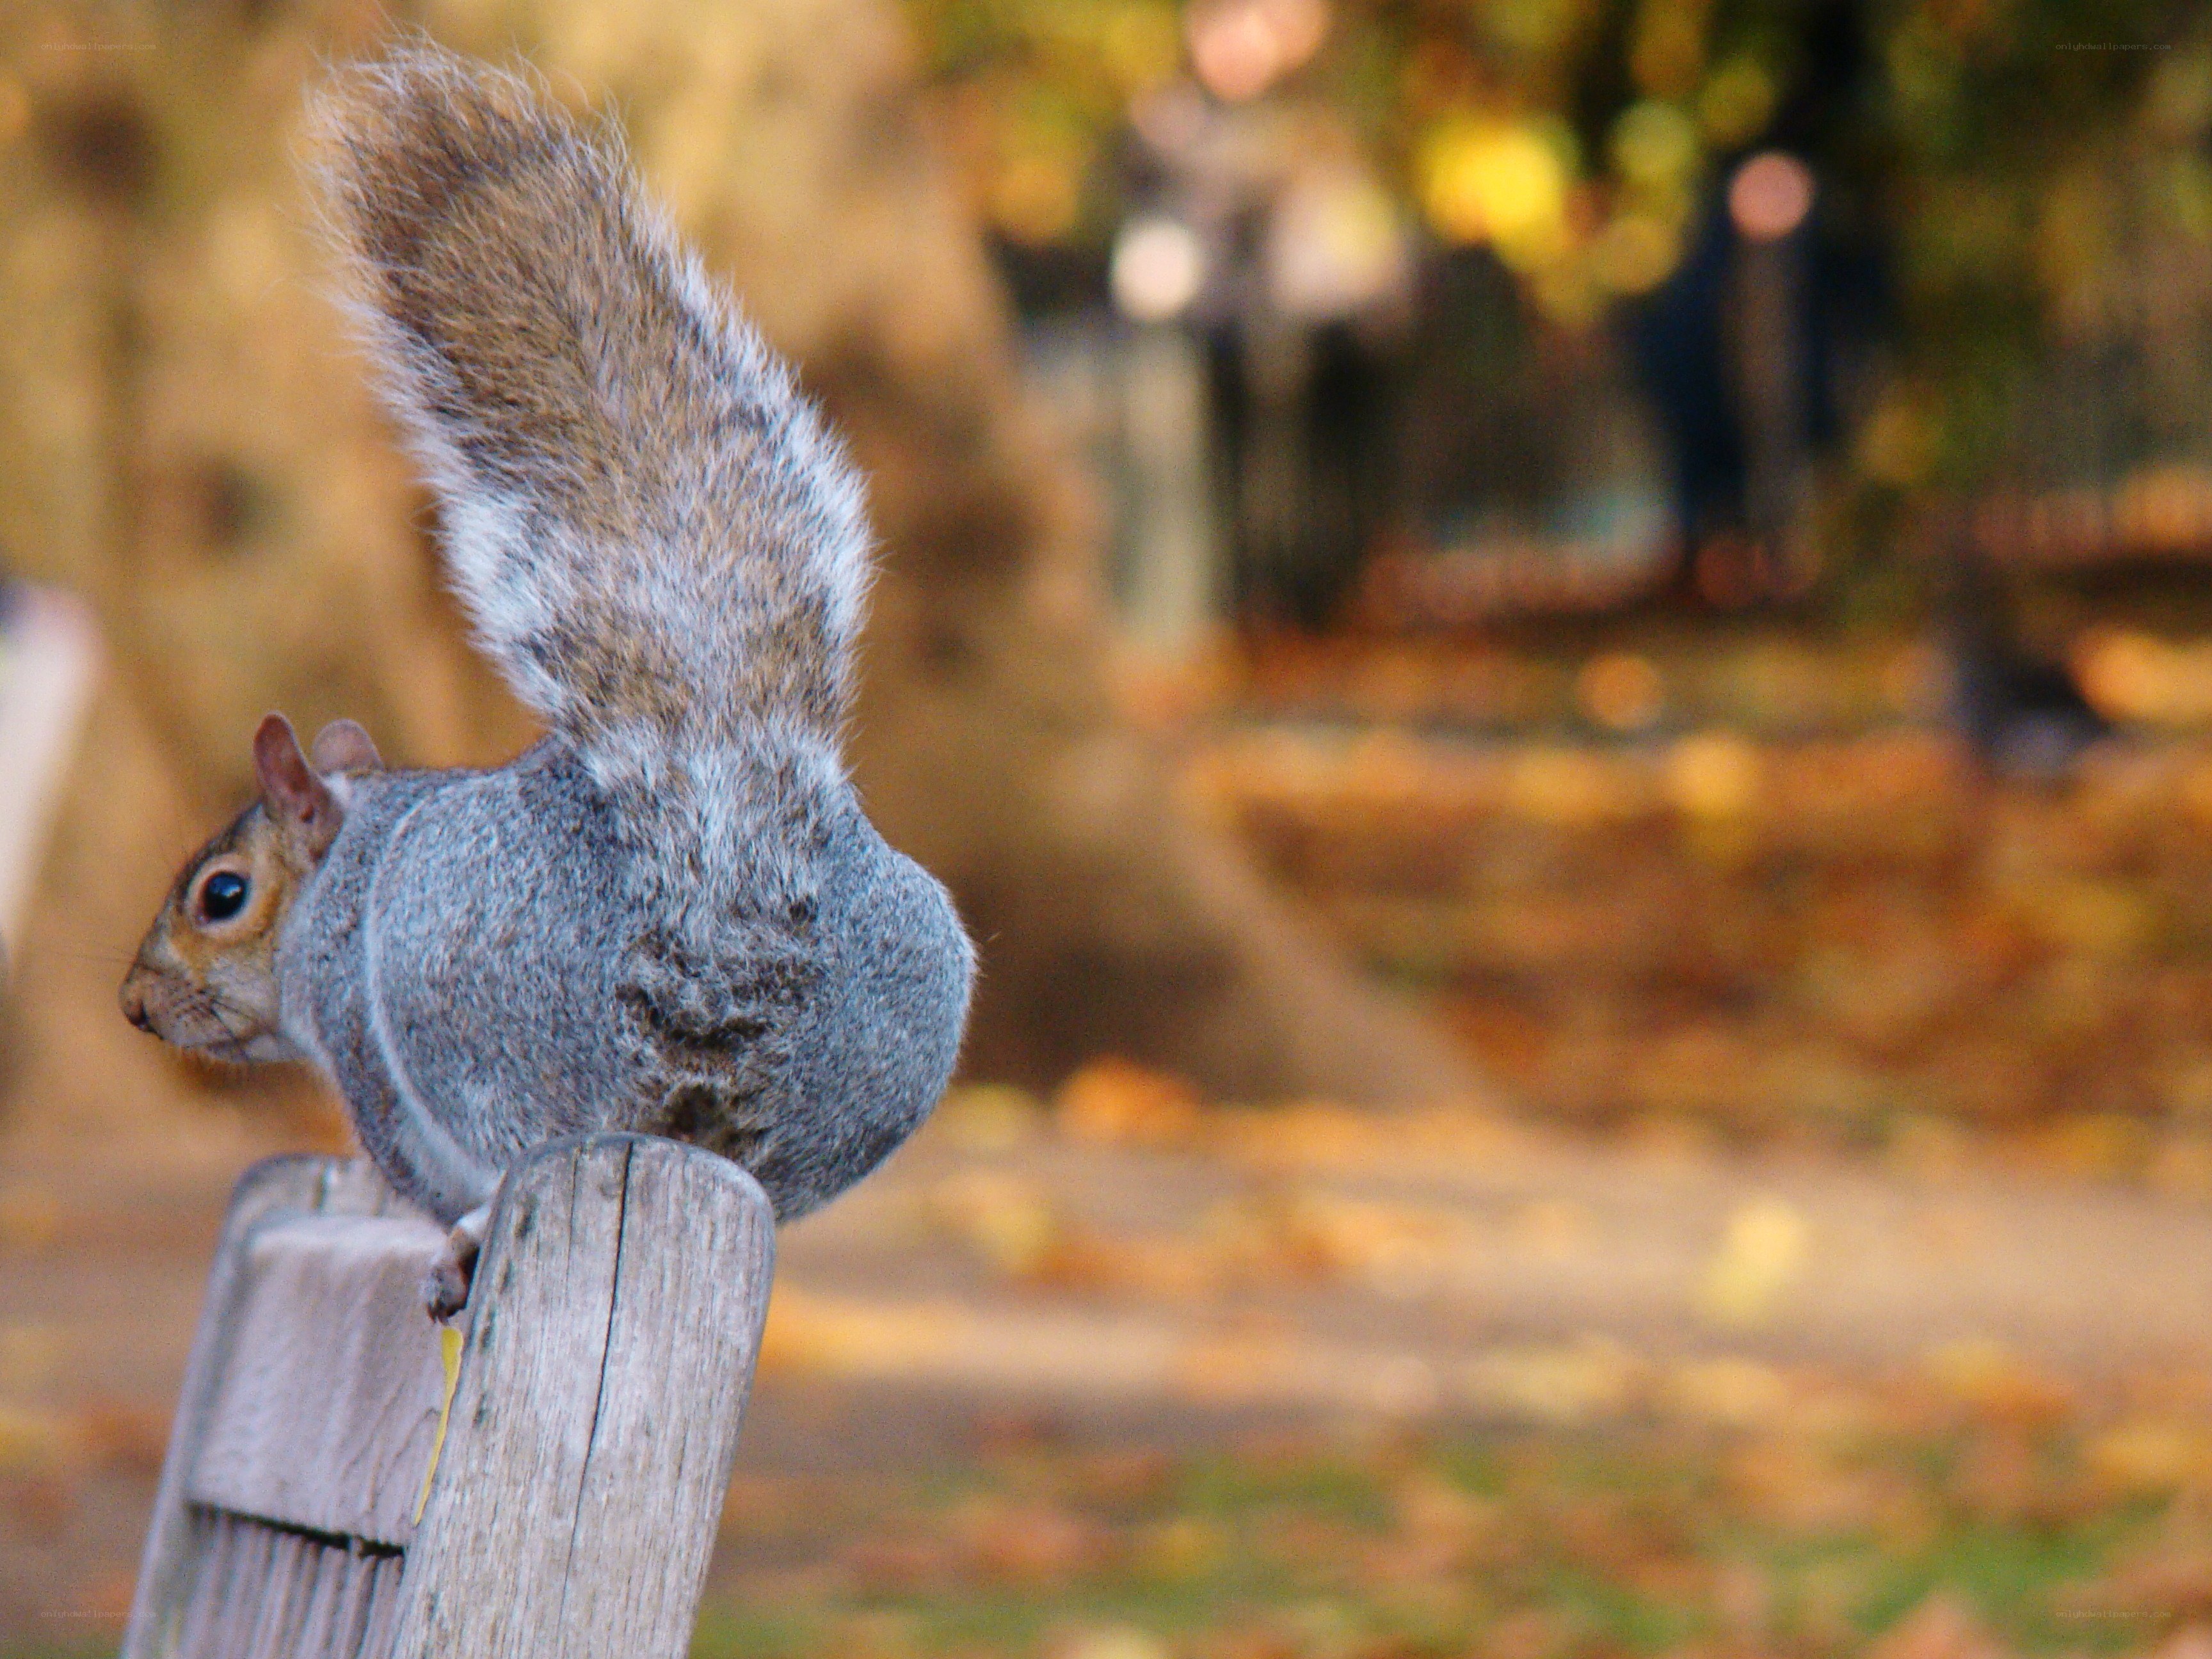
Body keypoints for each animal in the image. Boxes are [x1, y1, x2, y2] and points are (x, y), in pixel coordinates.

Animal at [117, 44, 976, 1316]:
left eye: (221, 894)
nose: (137, 1003)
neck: (353, 846)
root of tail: (720, 944)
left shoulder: (365, 1042)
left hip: (468, 1010)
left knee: (522, 1143)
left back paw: (477, 1232)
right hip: (877, 1052)